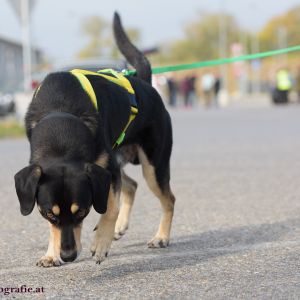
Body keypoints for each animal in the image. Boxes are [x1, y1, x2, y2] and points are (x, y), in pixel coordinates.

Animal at [14, 13, 176, 268]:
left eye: (82, 212)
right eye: (48, 213)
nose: (68, 256)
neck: (60, 114)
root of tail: (145, 83)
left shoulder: (106, 172)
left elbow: (110, 208)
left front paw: (100, 243)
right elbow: (55, 227)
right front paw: (51, 253)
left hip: (152, 166)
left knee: (168, 199)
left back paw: (160, 237)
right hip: (117, 162)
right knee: (132, 185)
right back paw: (121, 228)